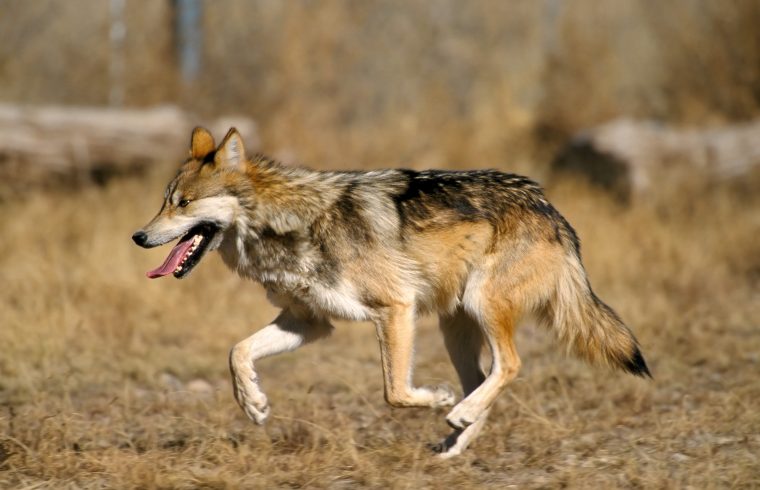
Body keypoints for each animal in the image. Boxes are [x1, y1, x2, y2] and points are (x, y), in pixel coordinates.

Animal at [132, 127, 652, 460]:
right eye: (163, 202)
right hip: (454, 328)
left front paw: (436, 399)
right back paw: (455, 442)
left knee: (509, 366)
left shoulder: (394, 309)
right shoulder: (309, 323)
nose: (138, 236)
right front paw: (254, 404)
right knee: (484, 379)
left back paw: (456, 412)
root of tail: (549, 207)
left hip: (481, 307)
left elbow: (395, 392)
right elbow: (237, 352)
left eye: (183, 204)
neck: (289, 223)